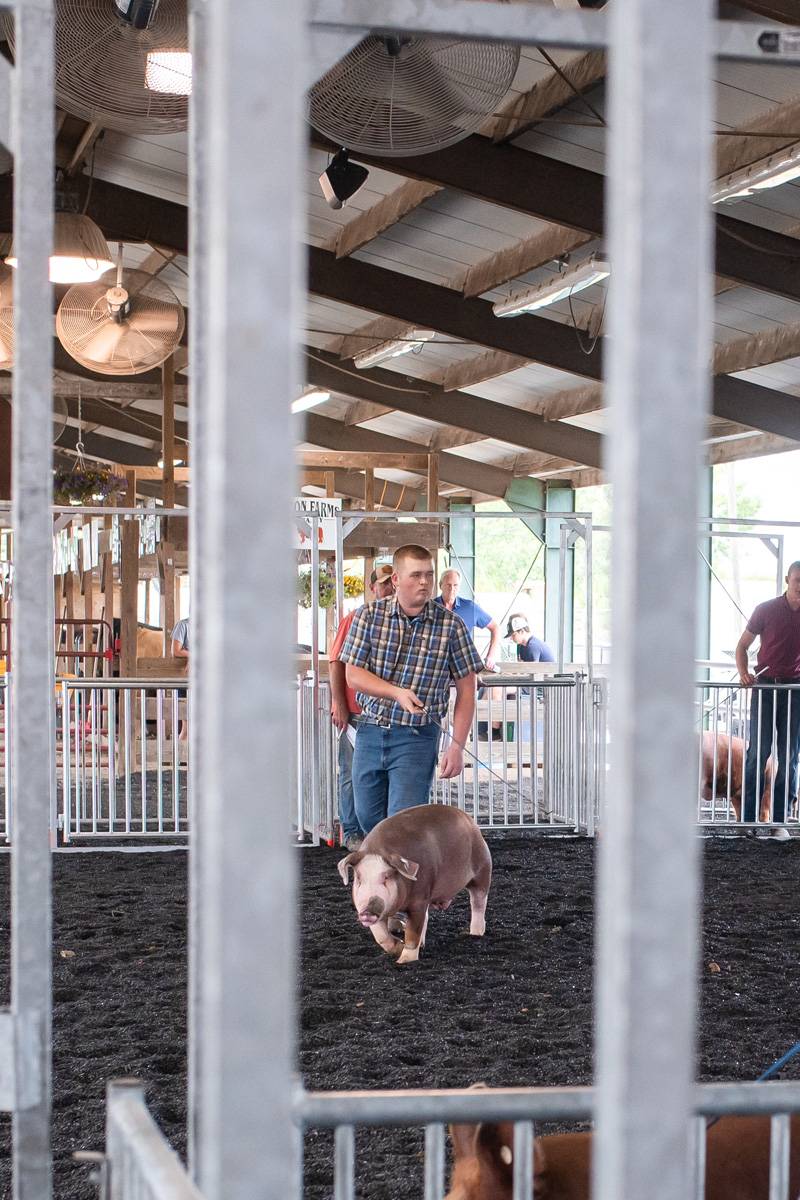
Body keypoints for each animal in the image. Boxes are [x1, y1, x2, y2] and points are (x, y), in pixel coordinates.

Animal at [335, 806, 491, 964]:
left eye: (386, 877)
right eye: (359, 879)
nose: (367, 911)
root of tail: (469, 820)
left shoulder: (419, 899)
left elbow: (413, 931)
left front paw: (403, 961)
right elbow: (380, 935)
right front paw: (398, 947)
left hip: (483, 869)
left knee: (478, 903)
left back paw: (475, 934)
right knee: (427, 917)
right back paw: (422, 945)